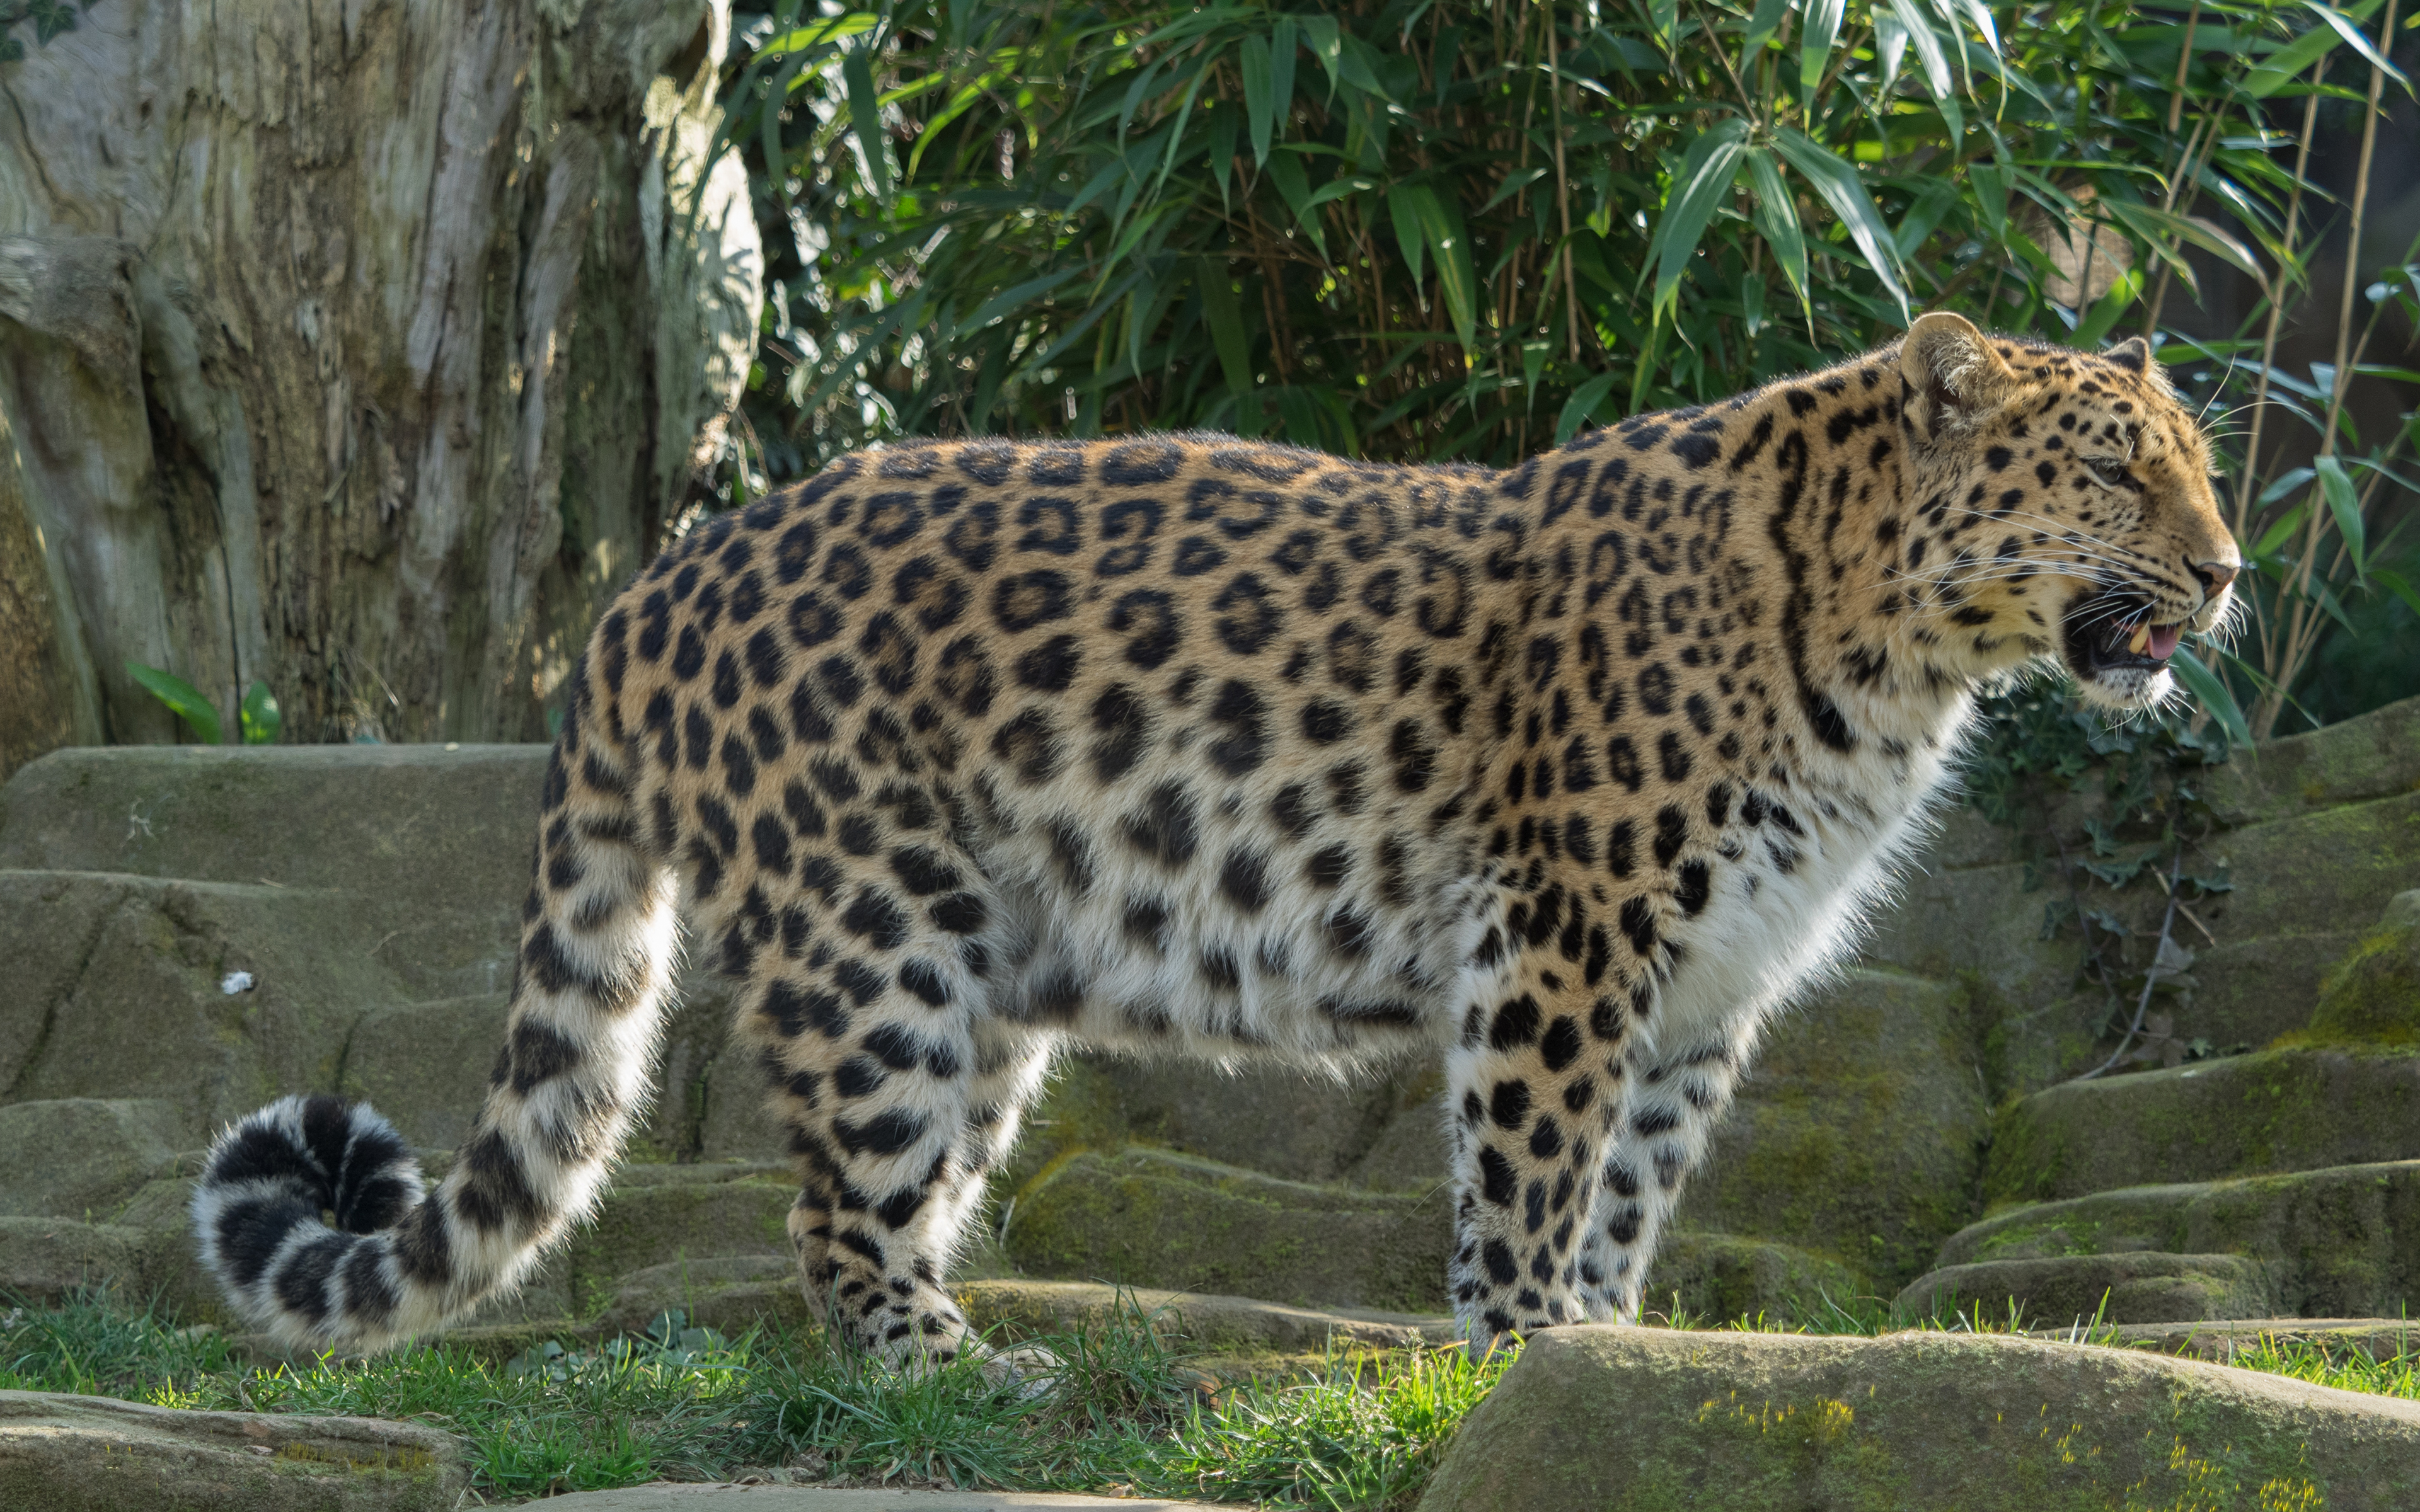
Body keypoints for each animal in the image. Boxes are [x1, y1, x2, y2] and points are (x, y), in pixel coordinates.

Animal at [193, 312, 2245, 1364]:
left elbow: (1631, 1186)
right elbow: (1529, 1172)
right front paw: (1517, 1356)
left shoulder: (1702, 985)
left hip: (983, 970)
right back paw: (955, 1369)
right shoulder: (1564, 940)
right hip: (873, 935)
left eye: (2202, 466)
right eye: (2111, 468)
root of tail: (655, 584)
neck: (1890, 663)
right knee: (832, 1207)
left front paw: (1605, 1355)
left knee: (899, 1182)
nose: (2227, 570)